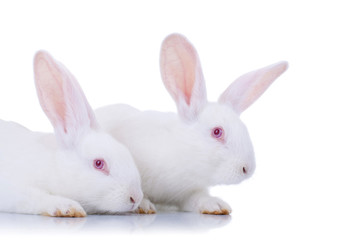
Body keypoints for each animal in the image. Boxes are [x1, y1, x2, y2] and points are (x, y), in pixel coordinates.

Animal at [0, 51, 143, 218]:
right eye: (98, 163)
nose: (135, 197)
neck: (56, 168)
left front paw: (145, 205)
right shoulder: (12, 189)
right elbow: (33, 197)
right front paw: (68, 207)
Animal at [96, 32, 290, 215]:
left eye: (244, 129)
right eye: (217, 132)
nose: (247, 169)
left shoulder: (188, 192)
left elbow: (197, 199)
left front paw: (217, 205)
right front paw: (143, 205)